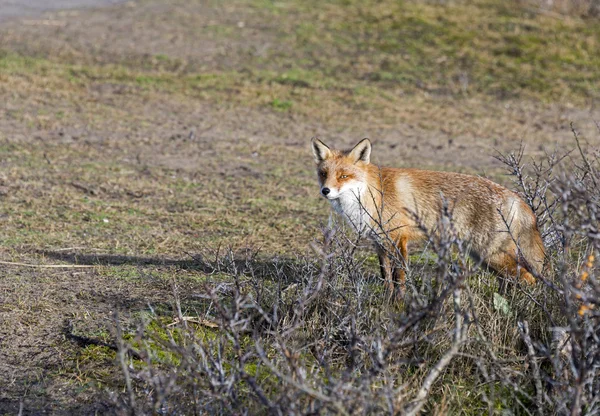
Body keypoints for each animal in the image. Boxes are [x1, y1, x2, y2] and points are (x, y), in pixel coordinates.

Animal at [312, 138, 548, 294]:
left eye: (344, 176)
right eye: (324, 174)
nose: (325, 191)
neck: (373, 195)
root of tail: (513, 195)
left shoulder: (399, 239)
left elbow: (399, 278)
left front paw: (398, 305)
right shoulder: (378, 242)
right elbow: (385, 277)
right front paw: (387, 302)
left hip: (492, 254)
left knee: (529, 278)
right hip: (484, 257)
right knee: (511, 279)